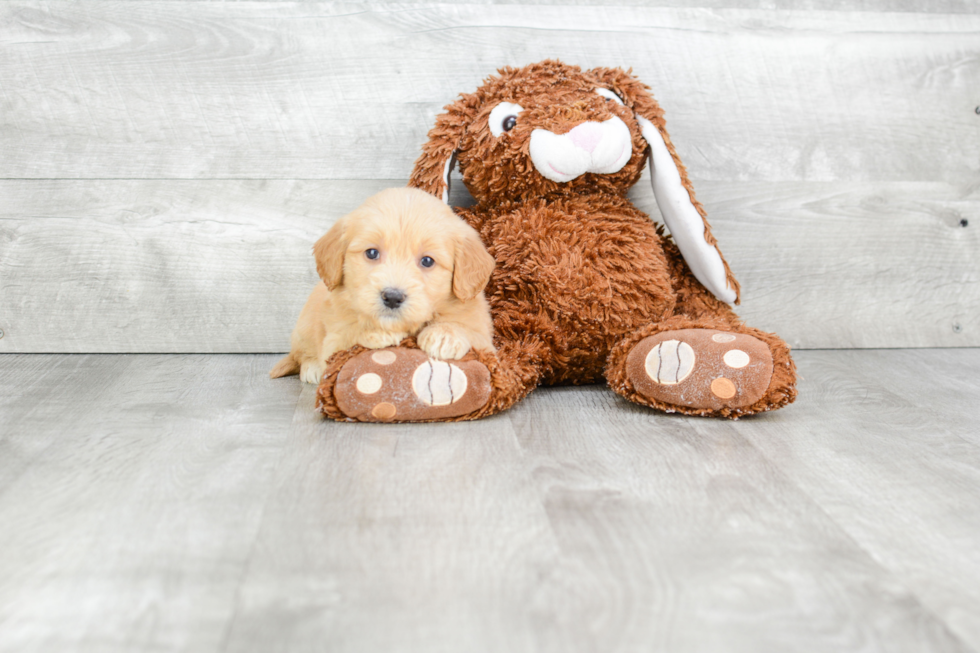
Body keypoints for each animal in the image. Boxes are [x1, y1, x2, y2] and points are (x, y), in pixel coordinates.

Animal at [270, 187, 494, 382]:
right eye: (372, 253)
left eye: (427, 261)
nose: (392, 297)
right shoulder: (332, 341)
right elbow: (347, 334)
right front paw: (374, 330)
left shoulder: (487, 341)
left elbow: (469, 330)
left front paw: (445, 334)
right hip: (304, 326)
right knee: (300, 354)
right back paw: (311, 368)